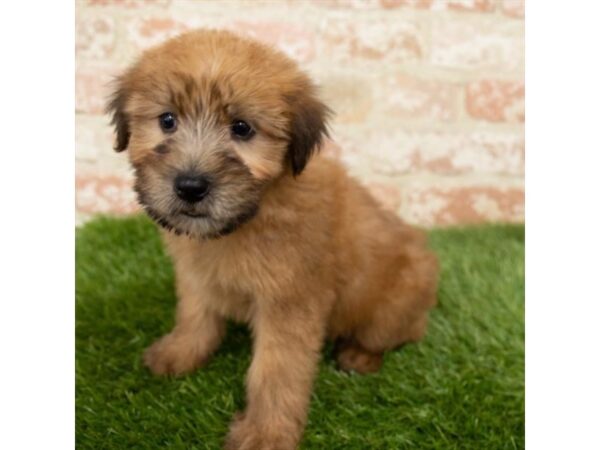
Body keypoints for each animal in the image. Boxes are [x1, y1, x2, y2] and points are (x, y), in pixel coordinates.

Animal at [106, 29, 436, 450]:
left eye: (242, 128)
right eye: (167, 120)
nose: (190, 186)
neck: (249, 216)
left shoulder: (290, 301)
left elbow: (276, 371)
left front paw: (267, 432)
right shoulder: (197, 275)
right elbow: (196, 316)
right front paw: (180, 352)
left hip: (393, 305)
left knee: (396, 334)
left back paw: (359, 356)